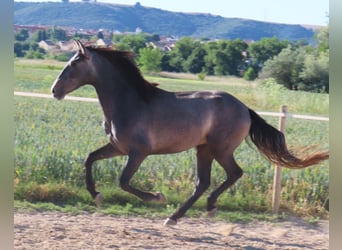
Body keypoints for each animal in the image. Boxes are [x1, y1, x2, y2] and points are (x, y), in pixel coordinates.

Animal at [50, 40, 328, 226]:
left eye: (73, 63)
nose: (54, 90)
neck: (129, 102)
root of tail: (244, 109)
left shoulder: (138, 152)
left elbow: (124, 181)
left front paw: (157, 197)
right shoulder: (117, 148)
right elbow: (89, 159)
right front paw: (96, 195)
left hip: (220, 149)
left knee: (233, 174)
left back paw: (207, 207)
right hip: (203, 149)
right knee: (203, 182)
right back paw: (176, 217)